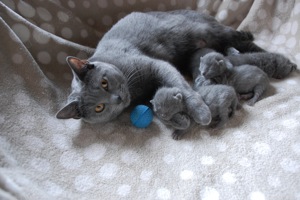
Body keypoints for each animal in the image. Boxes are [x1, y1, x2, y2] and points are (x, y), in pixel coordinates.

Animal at [55, 10, 264, 125]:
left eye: (104, 82)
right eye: (99, 108)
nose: (118, 98)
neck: (134, 90)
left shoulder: (156, 64)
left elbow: (181, 86)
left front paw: (201, 113)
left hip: (210, 31)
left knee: (244, 40)